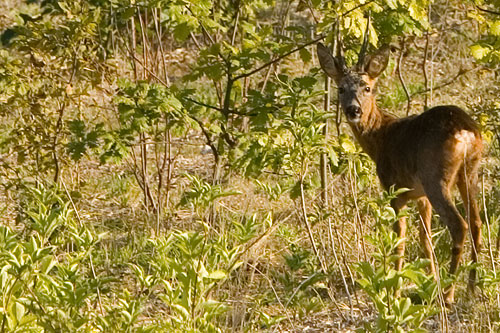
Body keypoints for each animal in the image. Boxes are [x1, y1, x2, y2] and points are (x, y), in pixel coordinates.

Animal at [318, 40, 482, 302]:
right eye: (341, 89)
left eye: (367, 88)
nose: (353, 110)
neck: (381, 137)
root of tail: (465, 130)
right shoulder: (420, 196)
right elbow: (425, 238)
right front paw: (429, 281)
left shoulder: (395, 190)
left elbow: (399, 240)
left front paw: (394, 291)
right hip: (469, 171)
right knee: (476, 222)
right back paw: (470, 288)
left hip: (436, 177)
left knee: (459, 225)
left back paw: (448, 294)